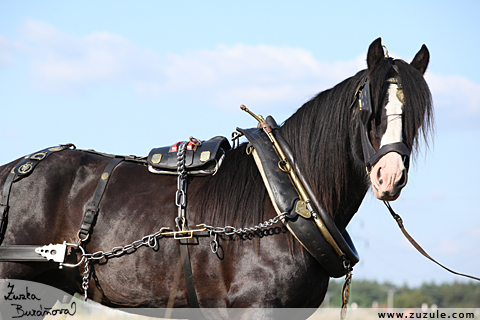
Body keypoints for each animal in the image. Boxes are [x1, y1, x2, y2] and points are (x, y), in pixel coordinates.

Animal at [0, 38, 436, 316]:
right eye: (369, 109)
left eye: (415, 117)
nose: (390, 176)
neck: (285, 199)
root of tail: (15, 169)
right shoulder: (255, 309)